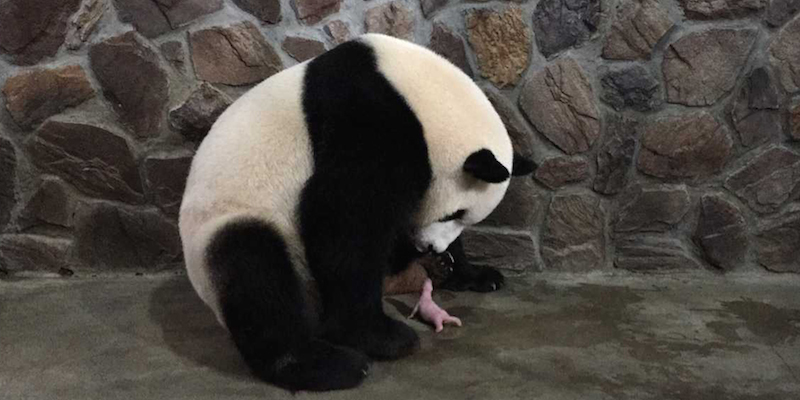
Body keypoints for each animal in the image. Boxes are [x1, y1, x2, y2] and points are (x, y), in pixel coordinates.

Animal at [178, 33, 536, 390]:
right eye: (455, 213)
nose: (433, 248)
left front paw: (475, 274)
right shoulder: (369, 118)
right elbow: (344, 218)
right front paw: (377, 336)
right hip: (231, 220)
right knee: (255, 273)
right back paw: (327, 364)